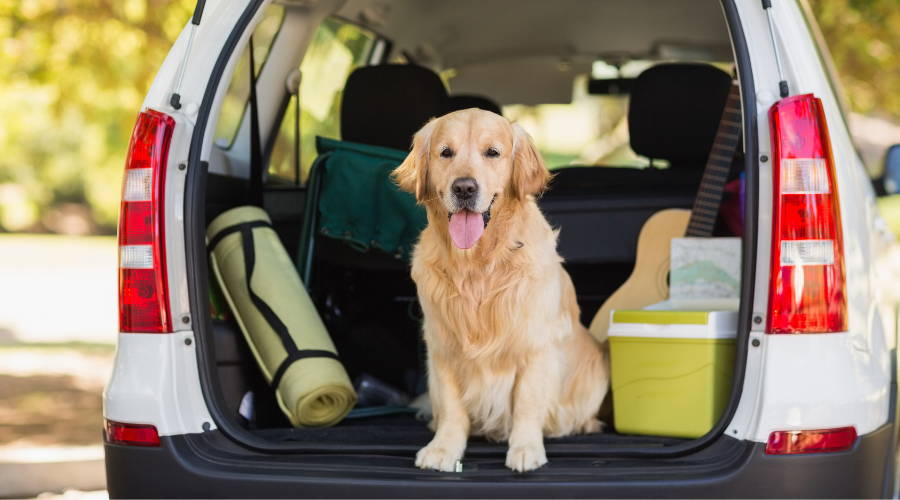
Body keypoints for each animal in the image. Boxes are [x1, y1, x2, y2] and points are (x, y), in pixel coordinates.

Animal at [390, 107, 608, 470]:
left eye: (492, 152)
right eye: (445, 152)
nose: (464, 187)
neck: (478, 265)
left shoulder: (535, 345)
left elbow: (527, 402)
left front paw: (526, 449)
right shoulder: (442, 345)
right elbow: (451, 407)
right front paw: (444, 449)